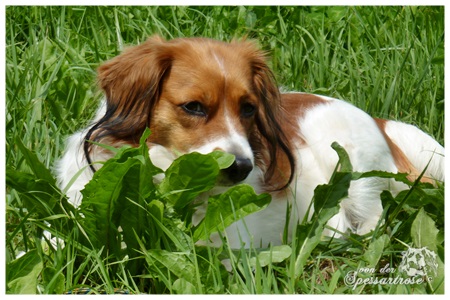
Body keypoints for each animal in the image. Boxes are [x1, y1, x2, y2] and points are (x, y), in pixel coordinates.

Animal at [55, 36, 442, 248]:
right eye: (193, 107)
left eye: (248, 108)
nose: (241, 168)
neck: (165, 175)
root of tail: (380, 122)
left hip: (352, 164)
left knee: (374, 219)